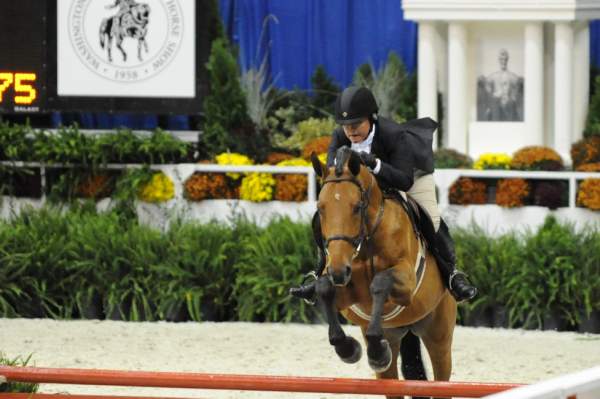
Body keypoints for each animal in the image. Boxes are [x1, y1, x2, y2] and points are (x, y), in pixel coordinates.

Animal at [312, 148, 458, 399]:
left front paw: (373, 351)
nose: (338, 271)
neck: (366, 240)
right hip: (393, 336)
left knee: (442, 377)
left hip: (439, 334)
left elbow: (380, 283)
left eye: (357, 207)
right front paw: (348, 349)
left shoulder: (406, 283)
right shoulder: (348, 296)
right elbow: (324, 289)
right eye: (321, 208)